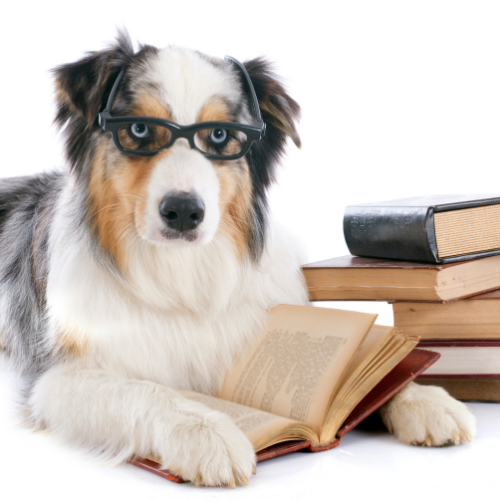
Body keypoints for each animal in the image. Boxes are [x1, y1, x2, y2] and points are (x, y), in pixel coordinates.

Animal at [0, 33, 476, 486]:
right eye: (138, 129)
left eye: (218, 135)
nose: (183, 211)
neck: (182, 273)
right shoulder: (54, 379)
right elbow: (147, 391)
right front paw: (207, 433)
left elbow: (368, 377)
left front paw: (422, 398)